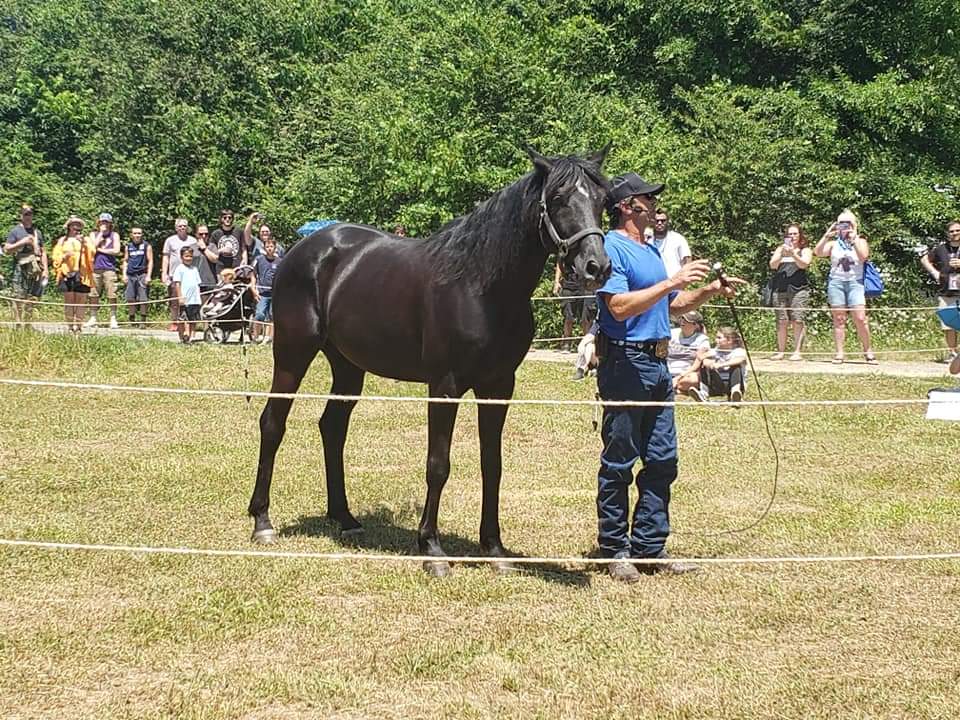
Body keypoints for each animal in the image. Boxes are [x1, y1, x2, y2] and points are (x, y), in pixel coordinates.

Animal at [248, 146, 613, 576]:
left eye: (602, 200)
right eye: (557, 199)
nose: (596, 266)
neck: (482, 285)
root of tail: (303, 249)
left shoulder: (499, 386)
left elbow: (493, 464)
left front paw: (494, 549)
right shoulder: (445, 386)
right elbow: (438, 464)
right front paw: (433, 549)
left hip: (348, 367)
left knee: (332, 428)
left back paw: (345, 517)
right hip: (292, 353)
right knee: (272, 424)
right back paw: (262, 521)